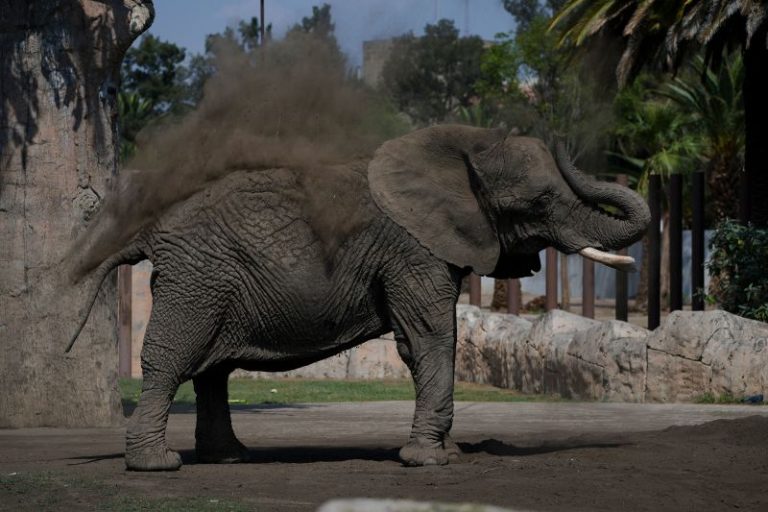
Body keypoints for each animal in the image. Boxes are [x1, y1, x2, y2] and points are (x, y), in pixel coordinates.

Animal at [65, 124, 650, 471]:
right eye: (540, 201)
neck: (463, 150)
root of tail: (151, 229)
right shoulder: (411, 249)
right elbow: (429, 336)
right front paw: (428, 460)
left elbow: (430, 340)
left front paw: (448, 452)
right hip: (198, 278)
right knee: (172, 358)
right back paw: (159, 464)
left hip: (209, 281)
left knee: (212, 370)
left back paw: (230, 458)